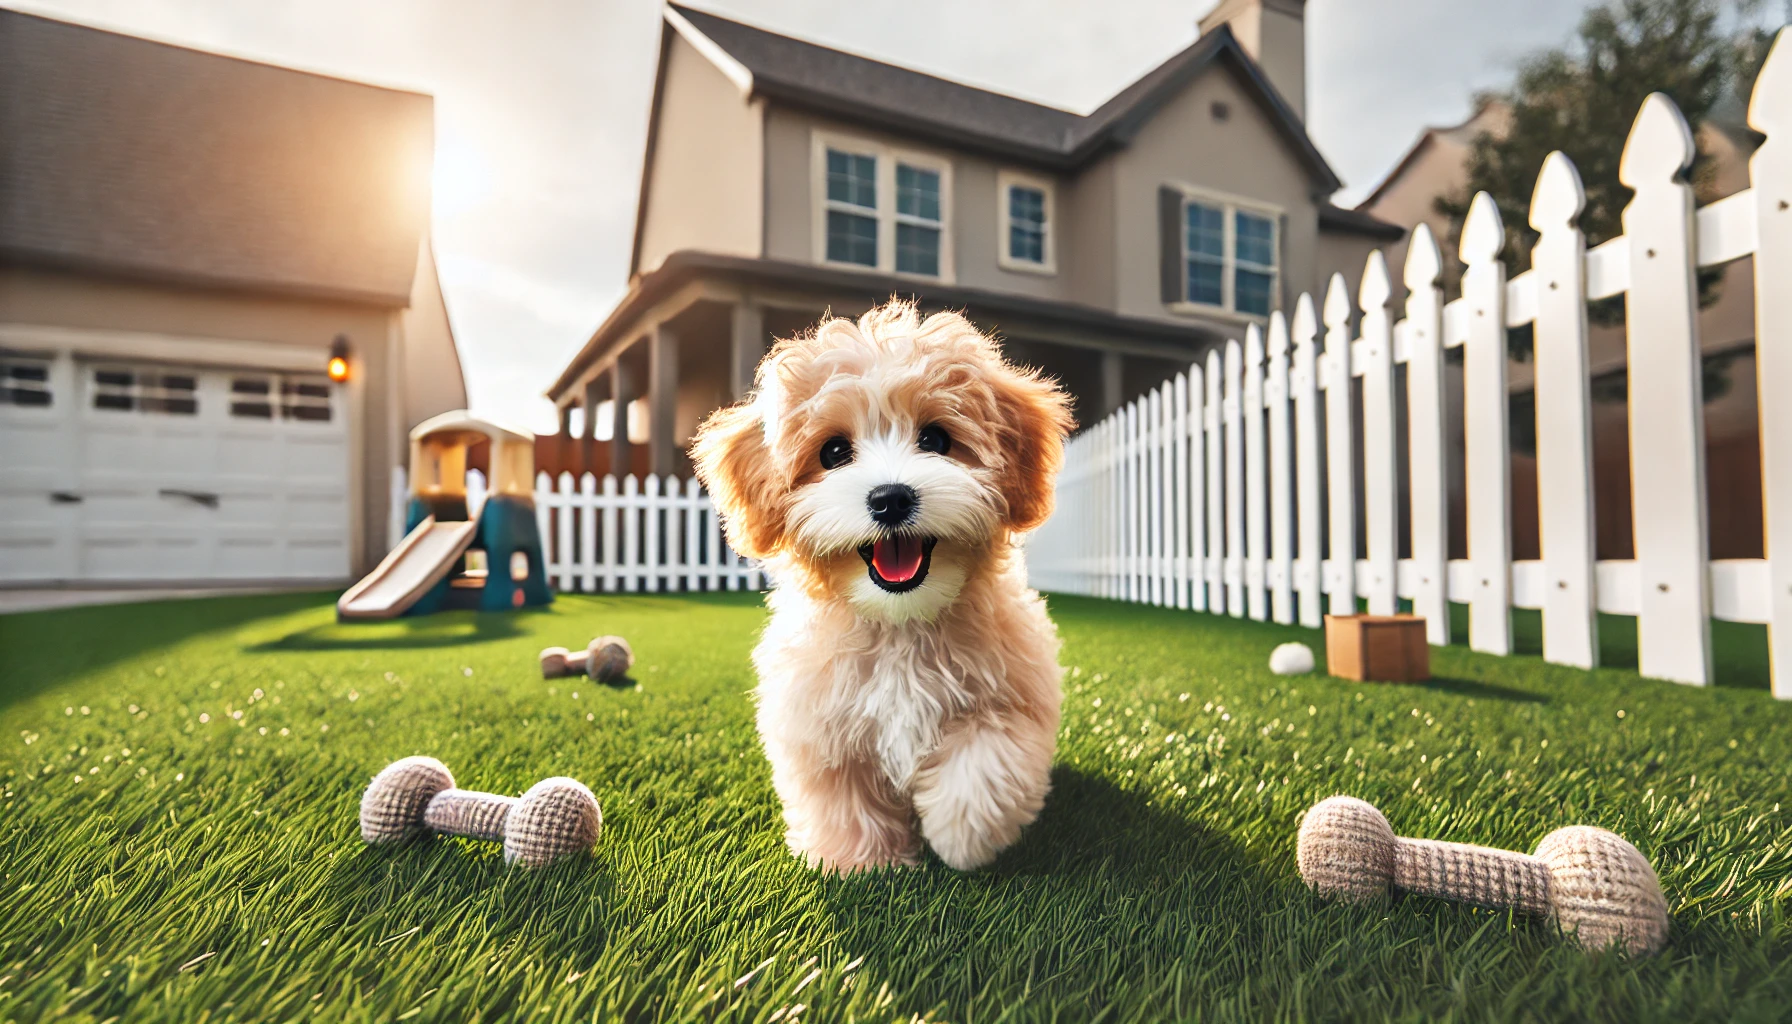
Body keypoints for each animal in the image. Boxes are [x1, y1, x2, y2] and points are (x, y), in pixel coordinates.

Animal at [691, 295, 1068, 875]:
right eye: (833, 452)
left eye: (936, 439)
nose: (890, 498)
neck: (900, 626)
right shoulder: (820, 723)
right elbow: (843, 795)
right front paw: (863, 862)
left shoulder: (1014, 689)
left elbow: (988, 759)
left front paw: (962, 837)